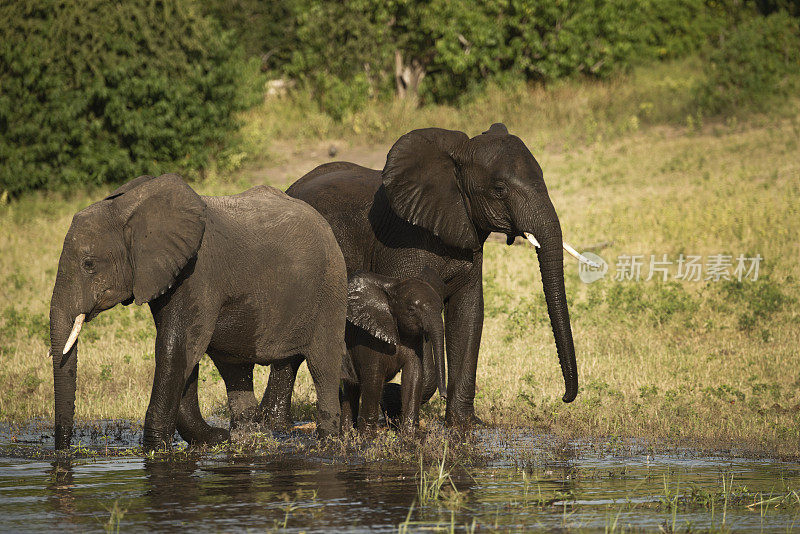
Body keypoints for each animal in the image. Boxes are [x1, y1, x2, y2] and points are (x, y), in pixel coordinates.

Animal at [48, 175, 346, 452]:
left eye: (89, 264)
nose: (64, 451)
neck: (129, 207)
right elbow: (184, 351)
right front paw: (215, 439)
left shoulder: (198, 272)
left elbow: (176, 347)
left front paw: (156, 451)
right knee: (235, 368)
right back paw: (248, 437)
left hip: (330, 286)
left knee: (323, 365)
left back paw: (327, 442)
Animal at [340, 272, 446, 436]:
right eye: (411, 310)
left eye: (441, 308)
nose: (444, 397)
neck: (393, 287)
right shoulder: (368, 338)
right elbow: (374, 377)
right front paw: (368, 437)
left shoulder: (414, 342)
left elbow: (414, 375)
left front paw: (410, 435)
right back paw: (347, 435)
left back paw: (348, 434)